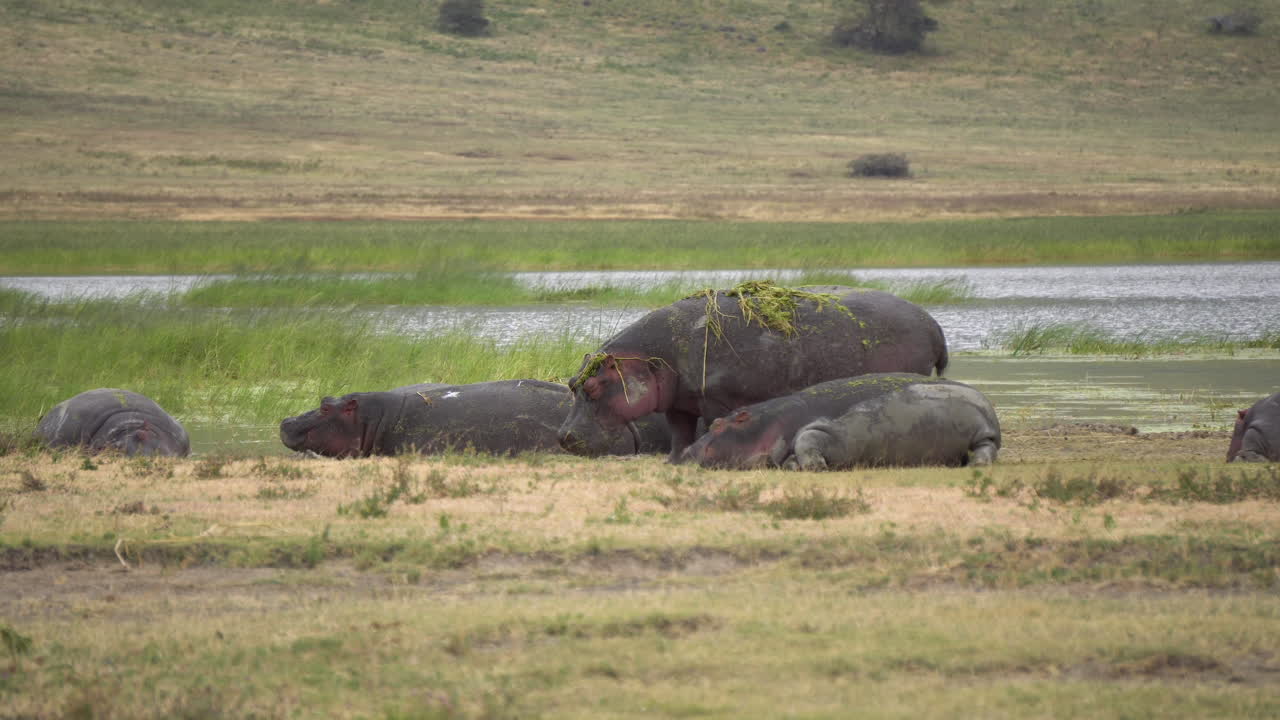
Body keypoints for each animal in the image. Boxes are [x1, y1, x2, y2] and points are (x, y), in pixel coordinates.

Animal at [558, 282, 948, 461]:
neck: (650, 356)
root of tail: (933, 325)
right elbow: (679, 434)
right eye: (572, 383)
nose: (563, 437)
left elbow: (704, 428)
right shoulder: (679, 403)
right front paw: (674, 461)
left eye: (594, 387)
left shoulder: (715, 401)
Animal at [681, 374, 1000, 470]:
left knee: (985, 449)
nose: (684, 452)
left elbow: (808, 438)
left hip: (983, 435)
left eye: (719, 425)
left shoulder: (827, 429)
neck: (770, 422)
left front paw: (815, 467)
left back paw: (976, 465)